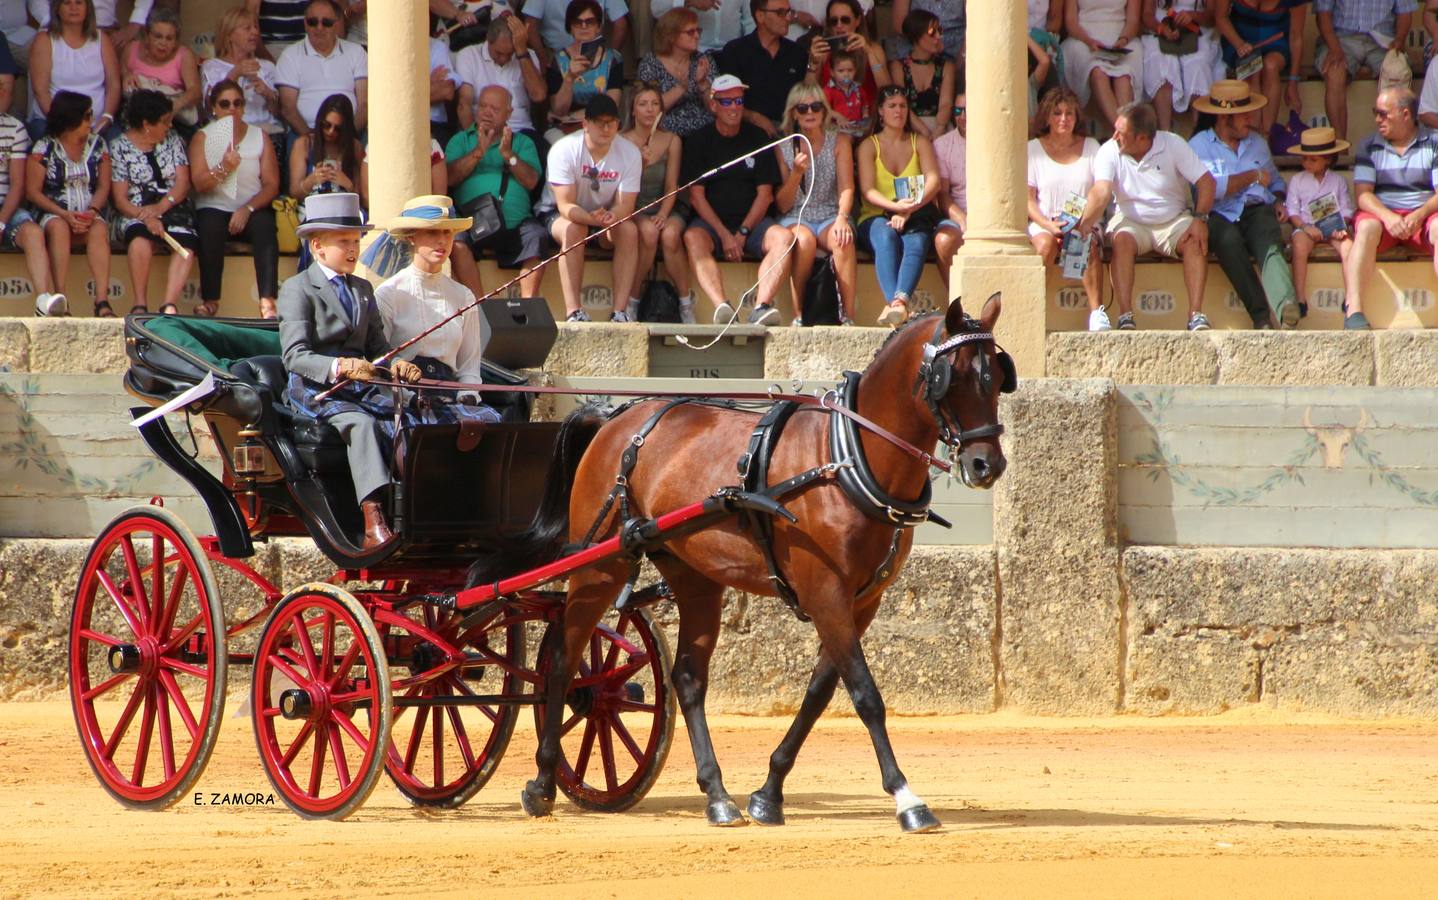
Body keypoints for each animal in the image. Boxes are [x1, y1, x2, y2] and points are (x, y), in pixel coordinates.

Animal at [506, 290, 1012, 828]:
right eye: (953, 376)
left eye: (998, 377)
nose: (987, 464)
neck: (846, 460)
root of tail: (613, 421)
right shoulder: (825, 592)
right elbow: (865, 694)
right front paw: (906, 796)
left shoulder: (861, 601)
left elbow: (819, 694)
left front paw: (769, 792)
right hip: (600, 566)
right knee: (564, 661)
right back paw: (542, 783)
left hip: (695, 578)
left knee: (687, 678)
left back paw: (716, 794)